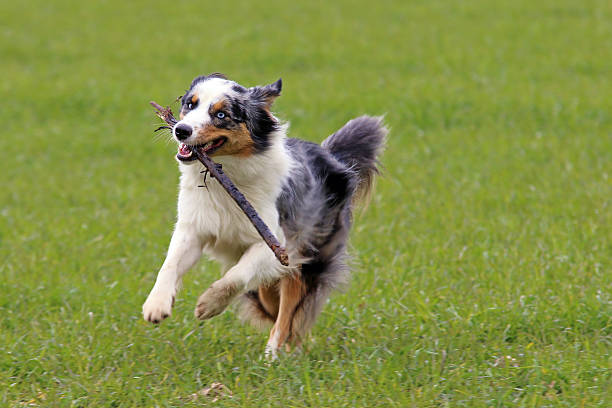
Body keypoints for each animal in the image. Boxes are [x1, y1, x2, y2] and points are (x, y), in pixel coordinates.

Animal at [141, 73, 384, 356]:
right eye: (190, 105)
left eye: (221, 114)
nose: (181, 130)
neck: (224, 175)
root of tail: (334, 158)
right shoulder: (194, 228)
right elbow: (169, 264)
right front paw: (156, 305)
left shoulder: (277, 244)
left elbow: (237, 275)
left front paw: (209, 304)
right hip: (268, 286)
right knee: (279, 311)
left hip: (305, 256)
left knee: (289, 310)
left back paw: (273, 354)